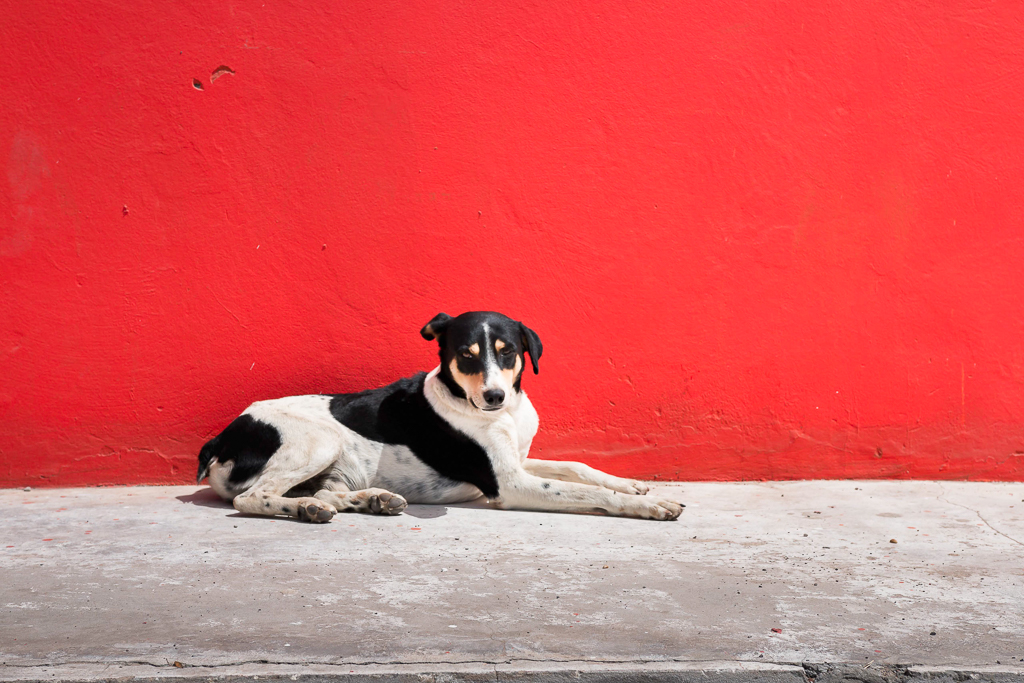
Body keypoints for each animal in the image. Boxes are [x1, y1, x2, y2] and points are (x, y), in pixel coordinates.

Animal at [195, 311, 684, 524]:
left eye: (507, 352)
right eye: (465, 355)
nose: (493, 396)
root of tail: (222, 437)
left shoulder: (518, 460)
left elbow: (578, 467)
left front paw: (633, 484)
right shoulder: (510, 482)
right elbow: (581, 490)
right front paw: (649, 505)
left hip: (333, 463)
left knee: (327, 491)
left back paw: (370, 501)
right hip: (318, 440)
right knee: (253, 498)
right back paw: (306, 509)